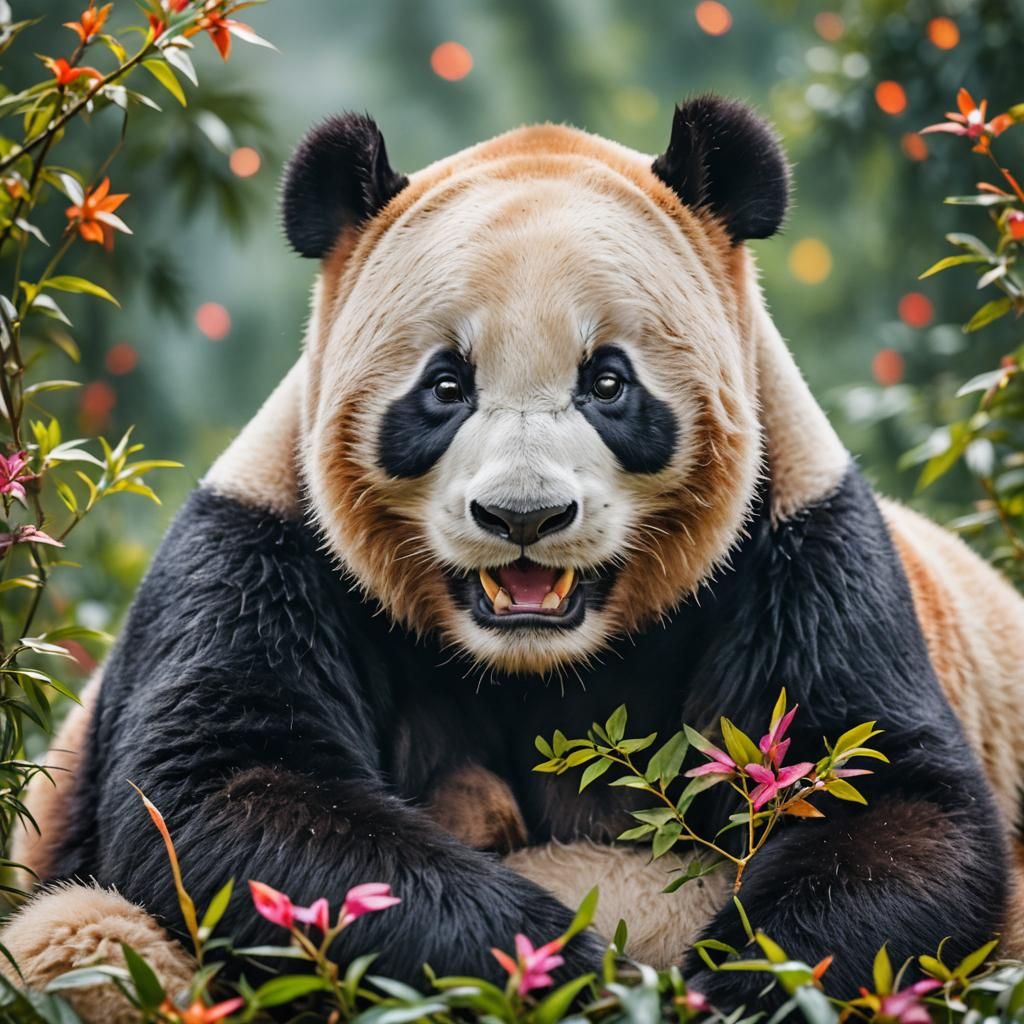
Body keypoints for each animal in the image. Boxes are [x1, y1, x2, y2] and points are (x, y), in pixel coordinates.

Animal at [3, 96, 1024, 1022]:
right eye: (445, 386)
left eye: (608, 382)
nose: (522, 516)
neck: (538, 659)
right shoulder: (261, 547)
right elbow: (227, 792)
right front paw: (576, 975)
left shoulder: (802, 547)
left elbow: (885, 801)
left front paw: (720, 989)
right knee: (87, 945)